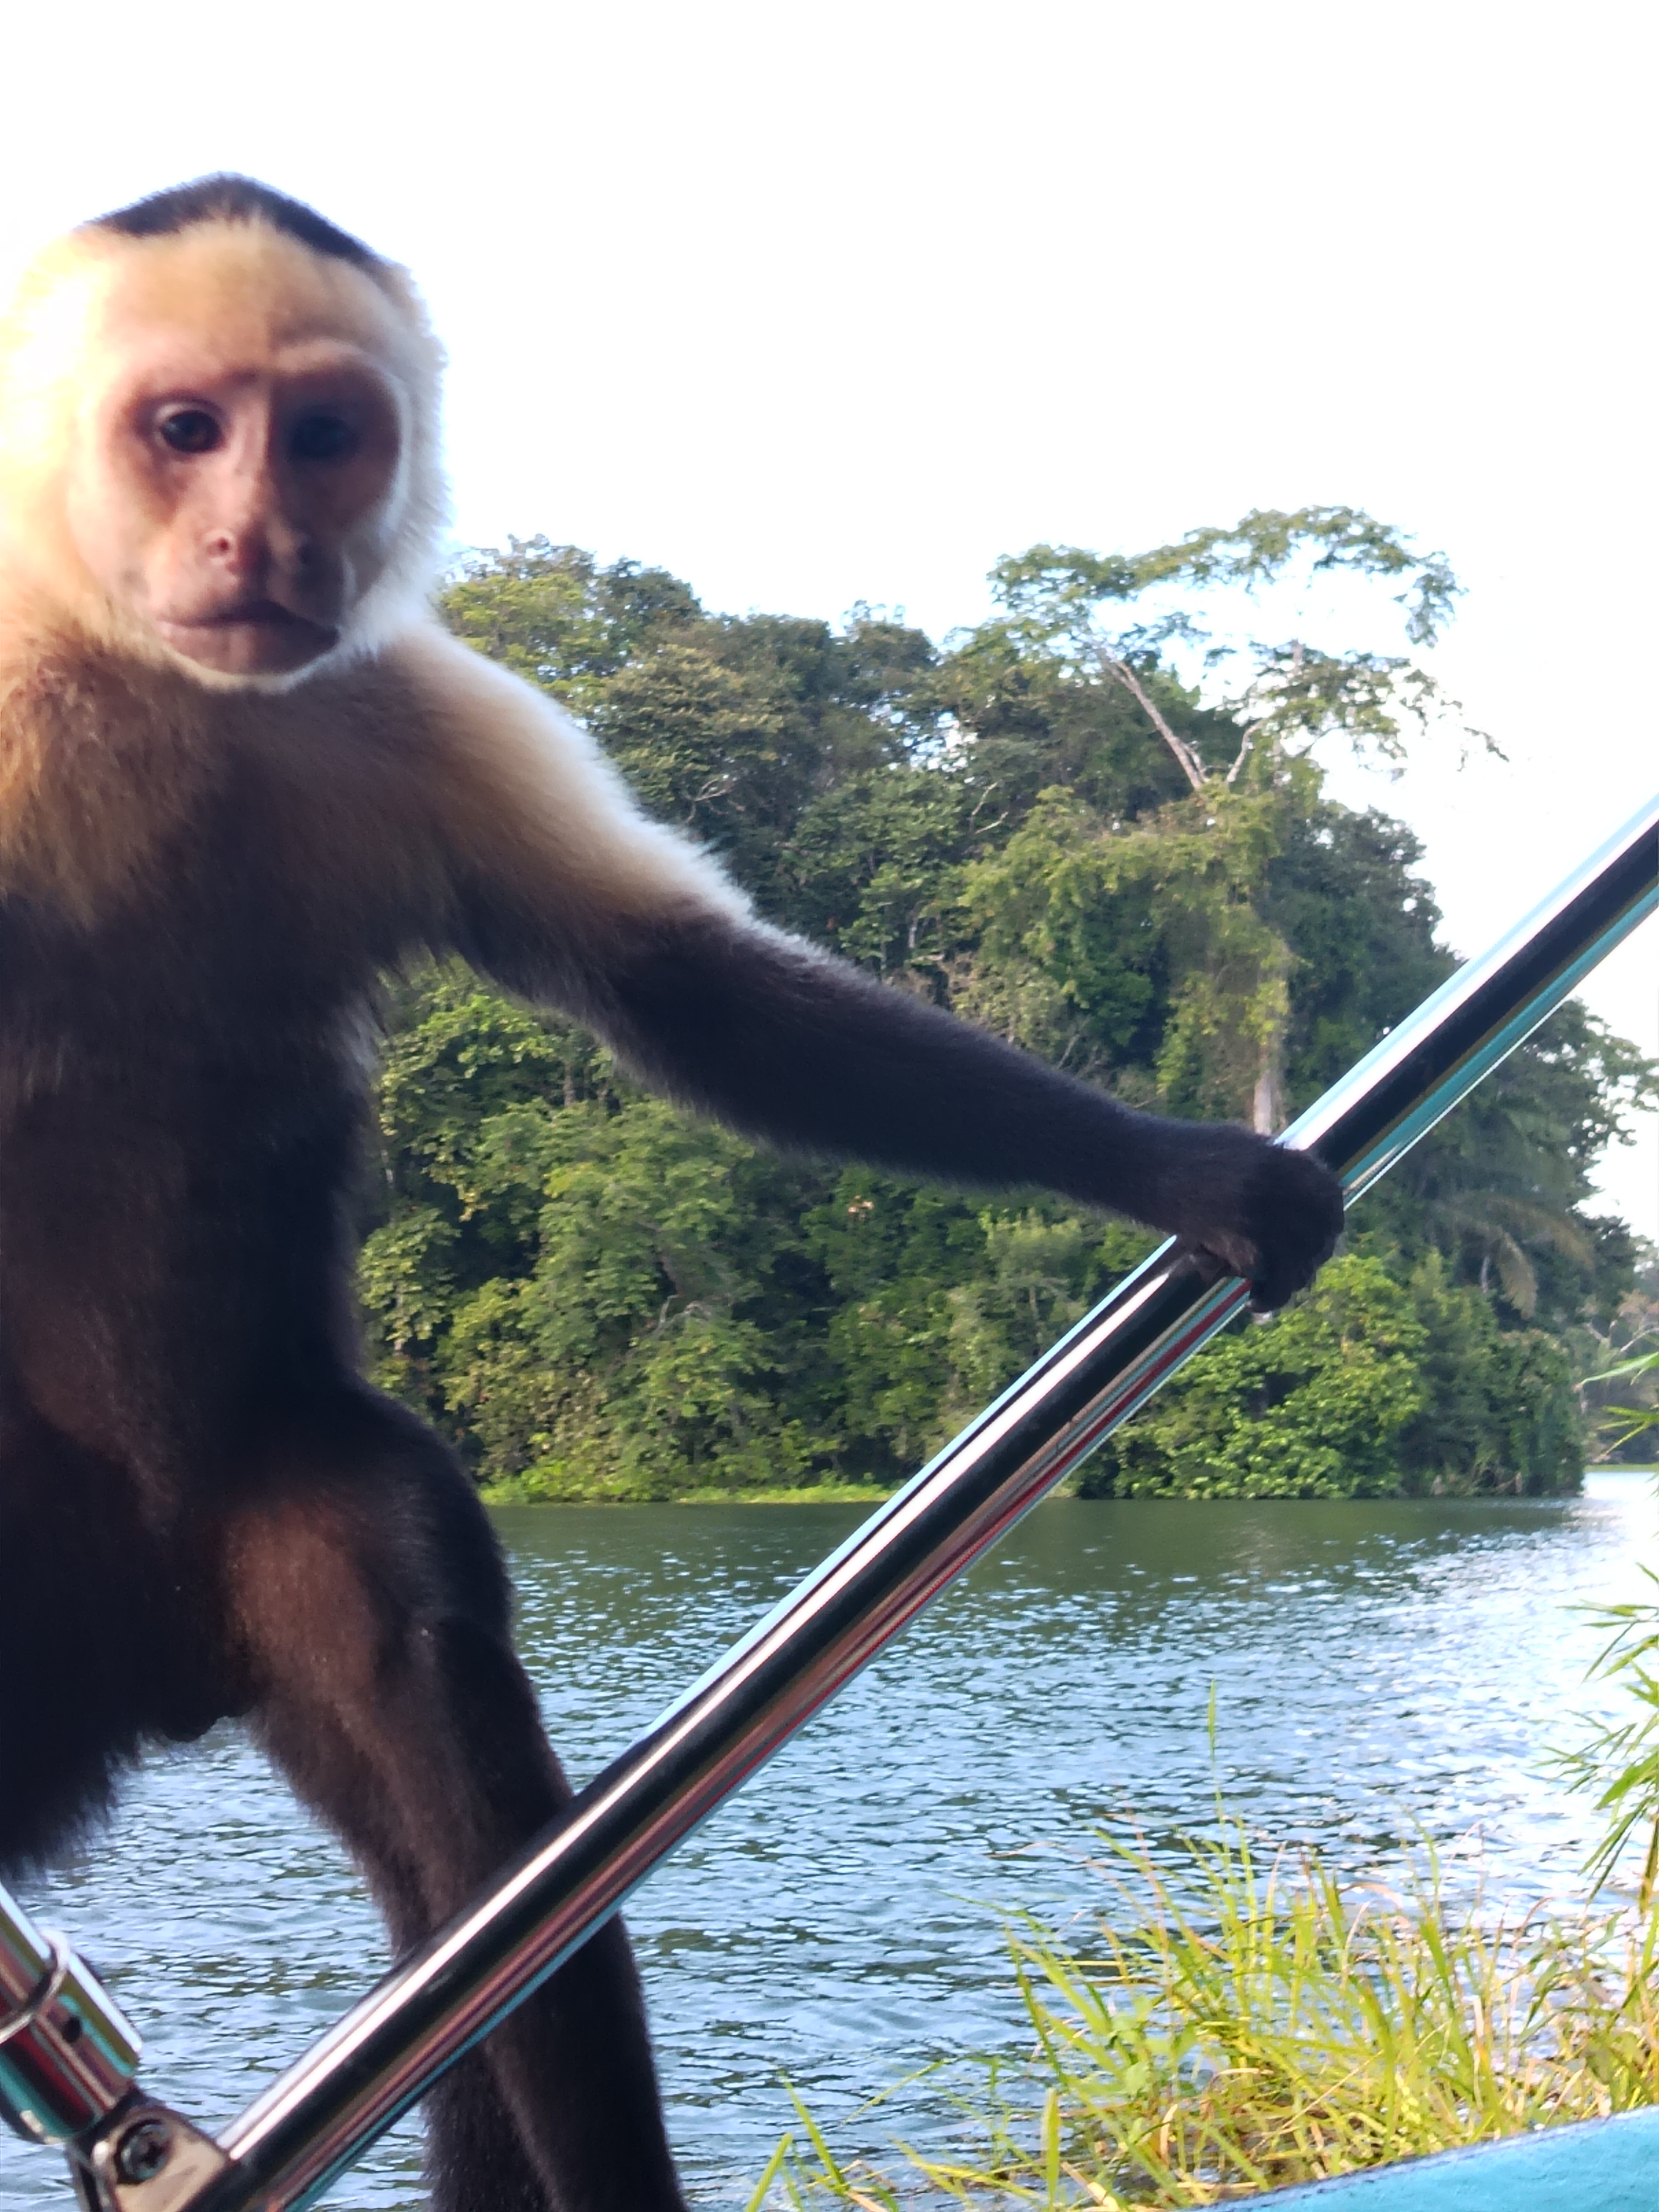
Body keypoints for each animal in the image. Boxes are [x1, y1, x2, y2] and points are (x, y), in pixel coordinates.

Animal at [0, 177, 1342, 2212]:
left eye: (322, 436)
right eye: (183, 429)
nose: (262, 535)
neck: (137, 679)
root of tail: (142, 1653)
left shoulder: (412, 711)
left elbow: (688, 997)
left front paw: (1189, 1171)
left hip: (268, 1522)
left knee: (450, 1794)